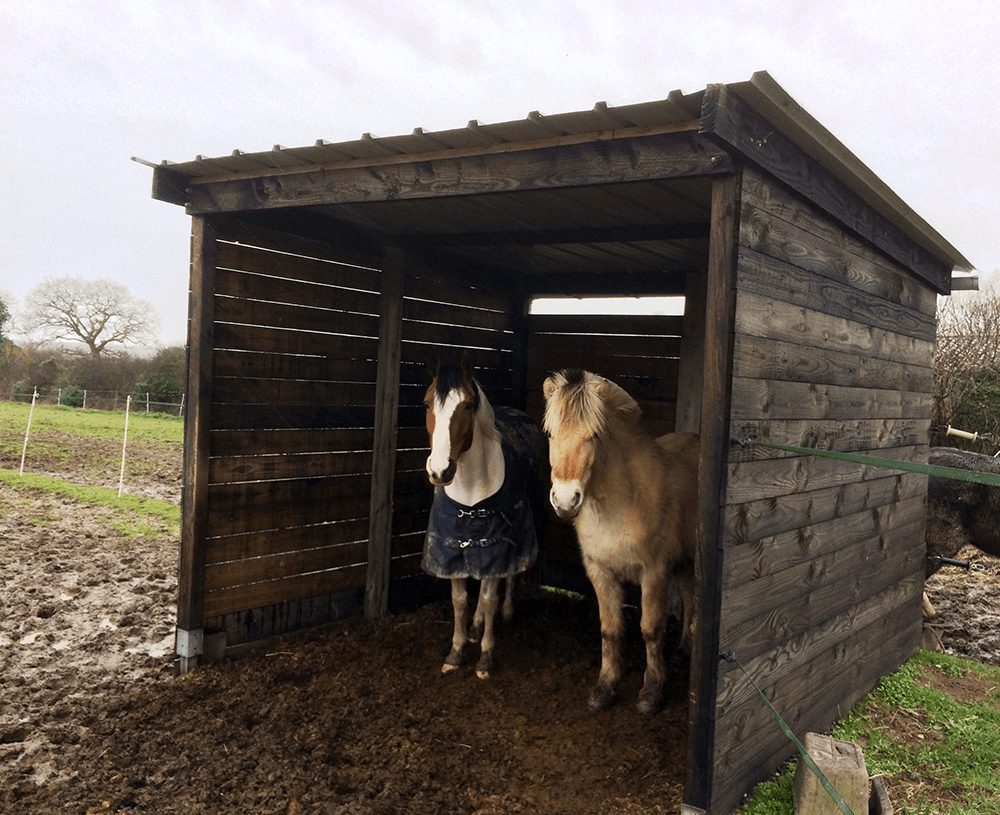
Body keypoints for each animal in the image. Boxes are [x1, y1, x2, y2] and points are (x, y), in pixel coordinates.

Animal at [421, 359, 547, 679]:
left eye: (467, 405)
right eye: (427, 403)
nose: (440, 471)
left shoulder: (497, 542)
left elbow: (490, 595)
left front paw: (485, 658)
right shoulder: (451, 546)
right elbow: (460, 599)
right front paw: (456, 652)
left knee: (509, 574)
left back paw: (507, 612)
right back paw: (476, 626)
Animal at [542, 368, 699, 714]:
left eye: (594, 435)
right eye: (549, 434)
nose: (565, 500)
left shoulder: (654, 573)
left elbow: (650, 630)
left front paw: (651, 693)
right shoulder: (600, 572)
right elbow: (610, 629)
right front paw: (604, 688)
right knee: (688, 593)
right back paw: (683, 649)